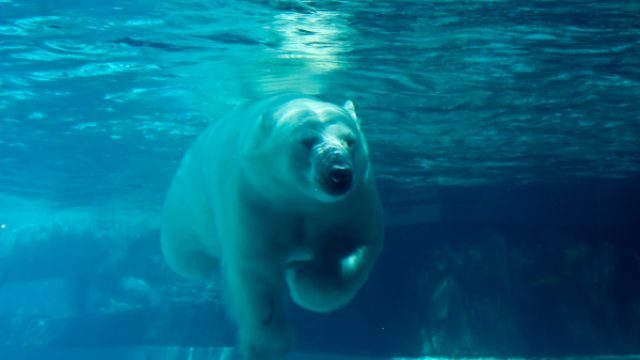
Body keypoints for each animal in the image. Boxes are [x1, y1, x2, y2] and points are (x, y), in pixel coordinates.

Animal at [160, 93, 382, 360]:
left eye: (350, 141)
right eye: (305, 140)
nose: (339, 174)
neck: (298, 198)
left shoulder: (352, 201)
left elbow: (357, 245)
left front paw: (299, 274)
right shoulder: (253, 198)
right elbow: (256, 274)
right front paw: (266, 346)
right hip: (186, 204)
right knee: (188, 260)